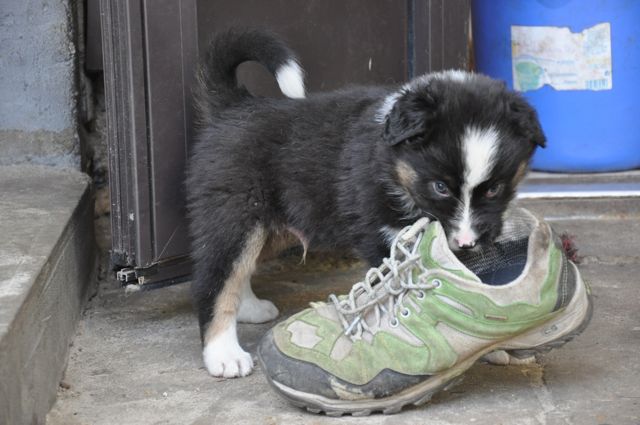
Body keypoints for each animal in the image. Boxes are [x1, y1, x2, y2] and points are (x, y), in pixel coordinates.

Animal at [185, 29, 544, 378]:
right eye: (440, 187)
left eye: (495, 188)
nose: (467, 243)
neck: (393, 161)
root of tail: (236, 106)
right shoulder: (383, 235)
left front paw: (493, 346)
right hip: (236, 212)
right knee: (216, 278)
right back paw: (224, 355)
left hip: (271, 223)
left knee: (241, 268)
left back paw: (249, 308)